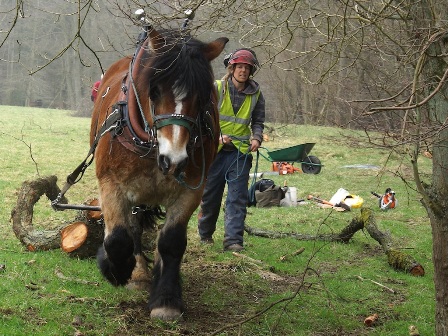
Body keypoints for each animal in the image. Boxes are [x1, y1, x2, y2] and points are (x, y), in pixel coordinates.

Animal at [91, 26, 229, 320]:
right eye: (153, 91)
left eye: (204, 96)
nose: (174, 160)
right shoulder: (111, 184)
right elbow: (118, 238)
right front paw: (118, 271)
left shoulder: (190, 190)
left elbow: (171, 241)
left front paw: (166, 299)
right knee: (131, 229)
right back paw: (138, 272)